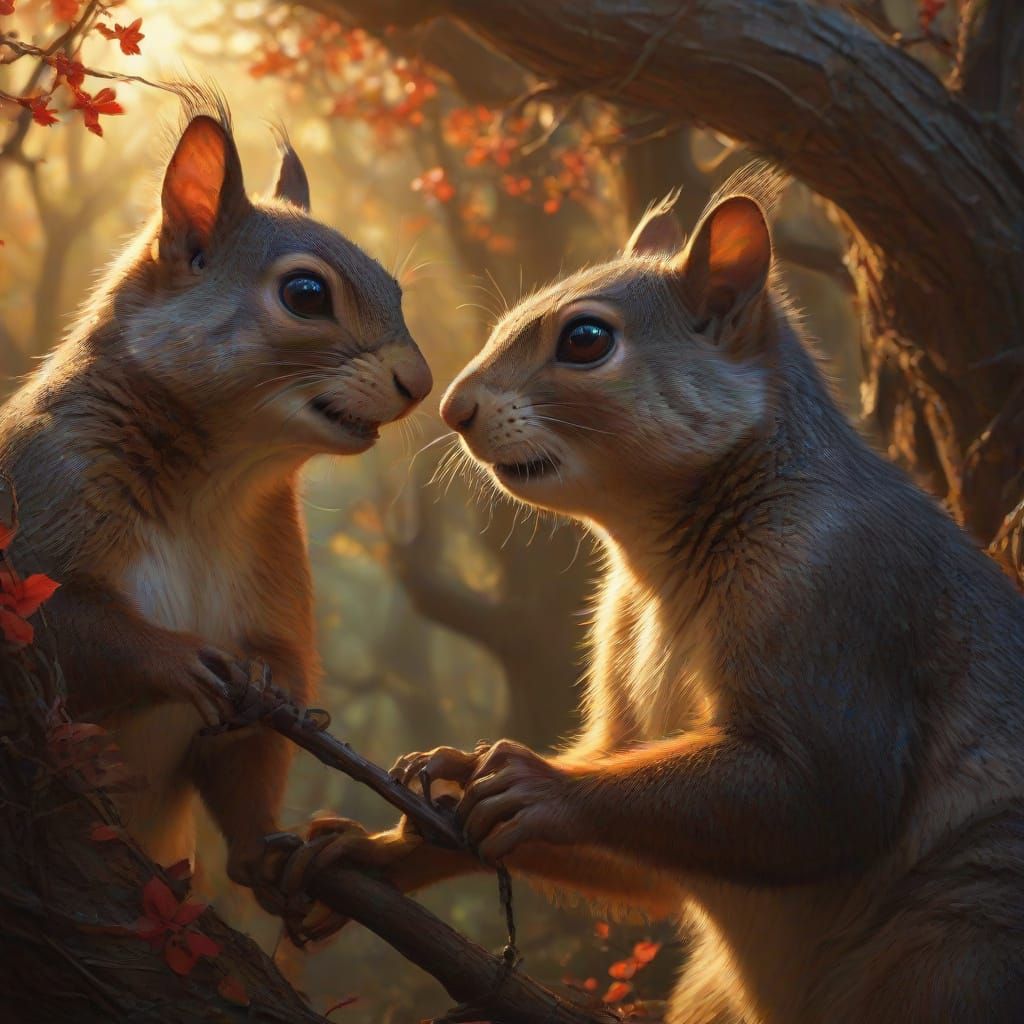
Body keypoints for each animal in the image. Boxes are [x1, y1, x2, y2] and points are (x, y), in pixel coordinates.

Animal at [0, 89, 431, 902]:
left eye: (396, 290)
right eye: (305, 294)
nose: (419, 384)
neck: (217, 483)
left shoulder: (273, 569)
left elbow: (257, 746)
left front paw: (265, 845)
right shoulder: (40, 492)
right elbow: (63, 626)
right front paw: (178, 659)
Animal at [302, 169, 1024, 1023]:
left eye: (586, 340)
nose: (453, 408)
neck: (660, 564)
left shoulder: (844, 597)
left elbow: (823, 792)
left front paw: (542, 786)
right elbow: (642, 857)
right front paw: (399, 833)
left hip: (950, 957)